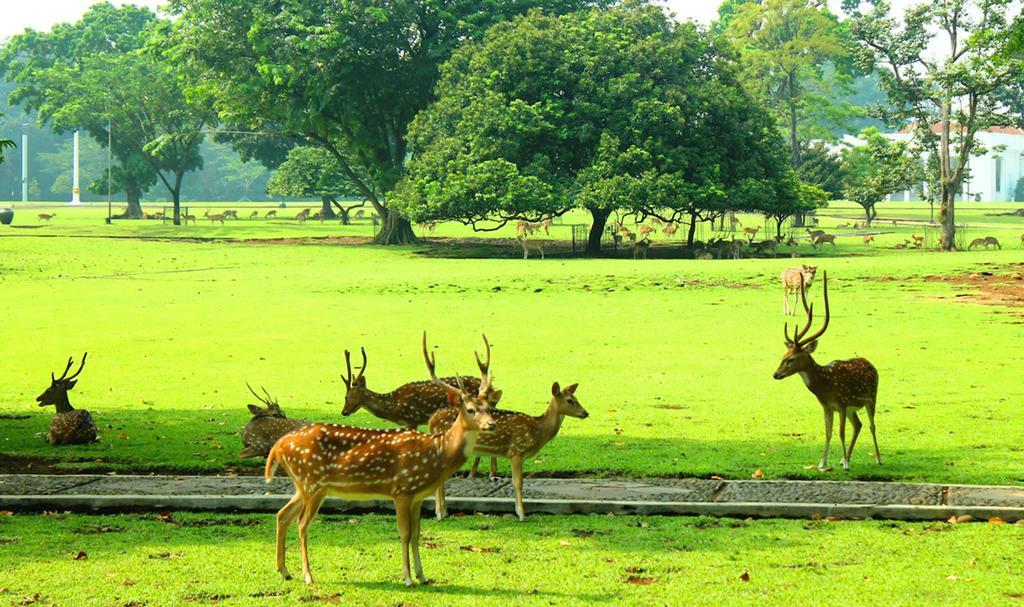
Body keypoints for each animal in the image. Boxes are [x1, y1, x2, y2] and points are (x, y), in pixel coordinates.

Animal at [428, 380, 589, 517]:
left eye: (576, 397)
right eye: (569, 400)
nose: (586, 413)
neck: (537, 430)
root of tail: (432, 420)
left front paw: (518, 511)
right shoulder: (517, 451)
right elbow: (518, 483)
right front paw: (522, 515)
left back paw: (444, 512)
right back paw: (440, 514)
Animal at [774, 272, 880, 470]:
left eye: (791, 359)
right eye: (783, 355)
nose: (775, 374)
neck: (825, 385)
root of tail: (870, 363)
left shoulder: (842, 403)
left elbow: (841, 432)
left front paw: (845, 465)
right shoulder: (827, 407)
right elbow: (829, 433)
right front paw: (823, 463)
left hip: (871, 398)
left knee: (871, 425)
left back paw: (877, 458)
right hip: (854, 408)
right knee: (858, 425)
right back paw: (844, 458)